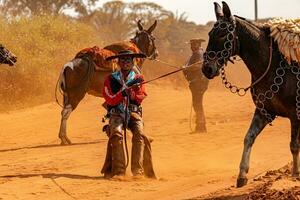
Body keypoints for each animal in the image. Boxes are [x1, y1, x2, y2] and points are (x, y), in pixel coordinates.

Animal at [202, 1, 300, 188]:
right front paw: (242, 175)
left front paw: (295, 174)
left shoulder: (295, 114)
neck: (273, 65)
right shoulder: (263, 112)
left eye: (222, 34)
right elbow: (249, 137)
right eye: (210, 33)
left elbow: (294, 145)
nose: (207, 69)